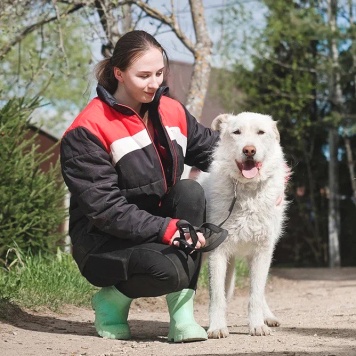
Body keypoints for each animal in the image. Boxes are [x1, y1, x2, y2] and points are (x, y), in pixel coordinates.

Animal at [200, 112, 290, 338]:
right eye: (237, 132)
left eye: (261, 132)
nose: (249, 150)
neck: (247, 191)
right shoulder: (217, 253)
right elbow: (217, 296)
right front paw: (217, 327)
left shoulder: (262, 252)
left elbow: (255, 295)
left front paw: (257, 325)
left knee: (259, 291)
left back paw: (268, 317)